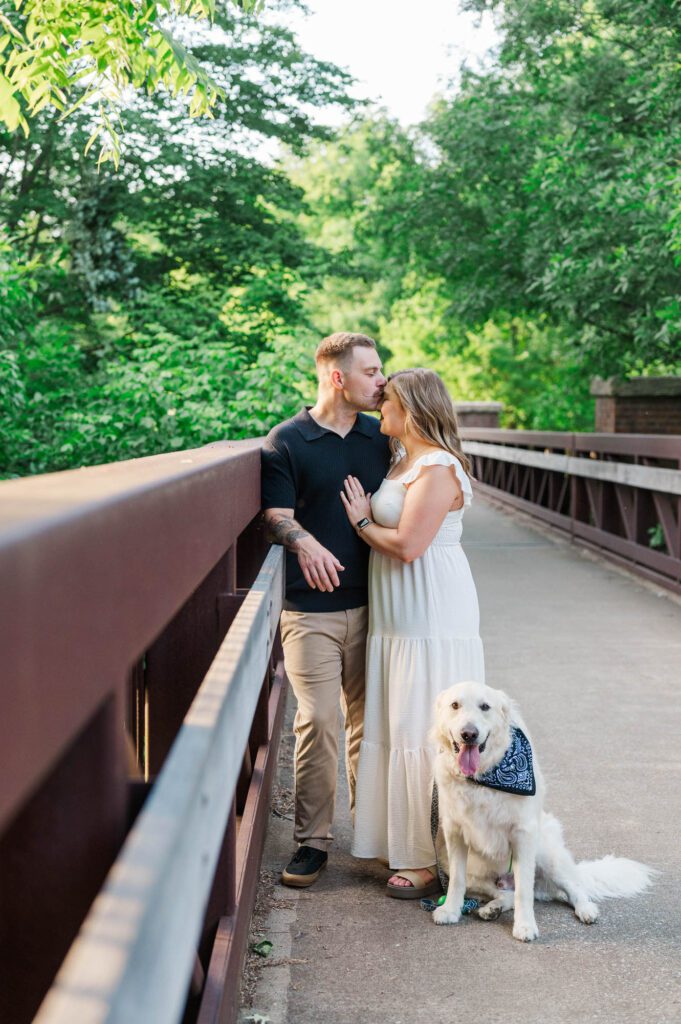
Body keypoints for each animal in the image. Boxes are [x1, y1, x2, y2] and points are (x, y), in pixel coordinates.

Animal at [430, 684, 655, 937]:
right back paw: (491, 909)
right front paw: (451, 910)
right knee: (505, 893)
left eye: (485, 706)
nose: (469, 734)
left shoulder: (524, 834)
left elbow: (524, 892)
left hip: (547, 855)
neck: (483, 779)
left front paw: (525, 925)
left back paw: (586, 909)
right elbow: (457, 882)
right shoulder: (454, 832)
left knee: (573, 887)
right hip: (471, 871)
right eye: (455, 705)